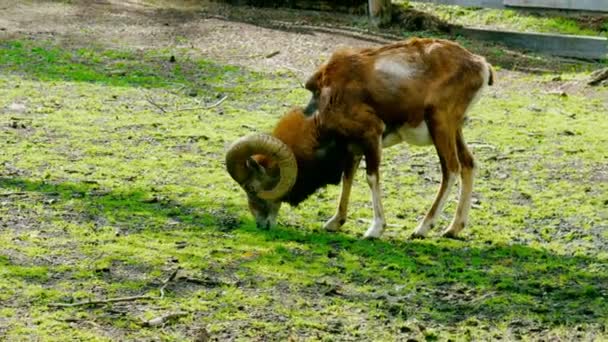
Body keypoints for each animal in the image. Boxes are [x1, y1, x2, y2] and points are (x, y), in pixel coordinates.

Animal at [226, 38, 492, 238]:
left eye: (251, 187)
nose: (261, 224)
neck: (325, 103)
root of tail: (481, 65)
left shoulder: (371, 136)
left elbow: (371, 178)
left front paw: (374, 230)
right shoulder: (353, 147)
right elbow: (348, 178)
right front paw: (335, 222)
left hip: (441, 125)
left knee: (451, 169)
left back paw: (422, 228)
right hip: (454, 130)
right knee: (468, 165)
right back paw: (453, 229)